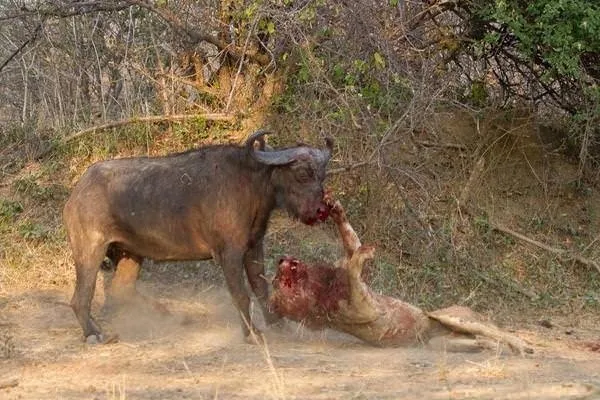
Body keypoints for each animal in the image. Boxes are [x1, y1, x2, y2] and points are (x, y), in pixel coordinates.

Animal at [64, 130, 332, 342]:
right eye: (302, 173)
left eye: (322, 175)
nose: (321, 210)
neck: (252, 183)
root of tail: (77, 192)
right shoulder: (229, 253)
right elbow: (241, 294)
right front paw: (251, 333)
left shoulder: (255, 246)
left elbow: (261, 288)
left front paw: (278, 324)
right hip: (90, 250)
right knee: (81, 297)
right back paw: (94, 333)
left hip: (131, 254)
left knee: (122, 290)